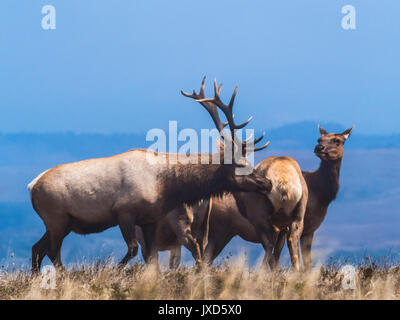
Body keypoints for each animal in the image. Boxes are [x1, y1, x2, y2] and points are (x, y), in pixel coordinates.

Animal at [28, 77, 272, 272]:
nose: (267, 183)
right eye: (241, 164)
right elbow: (133, 250)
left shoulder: (150, 219)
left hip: (60, 223)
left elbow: (151, 257)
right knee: (52, 252)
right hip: (56, 218)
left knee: (37, 248)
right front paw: (112, 270)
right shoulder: (124, 212)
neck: (166, 187)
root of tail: (32, 186)